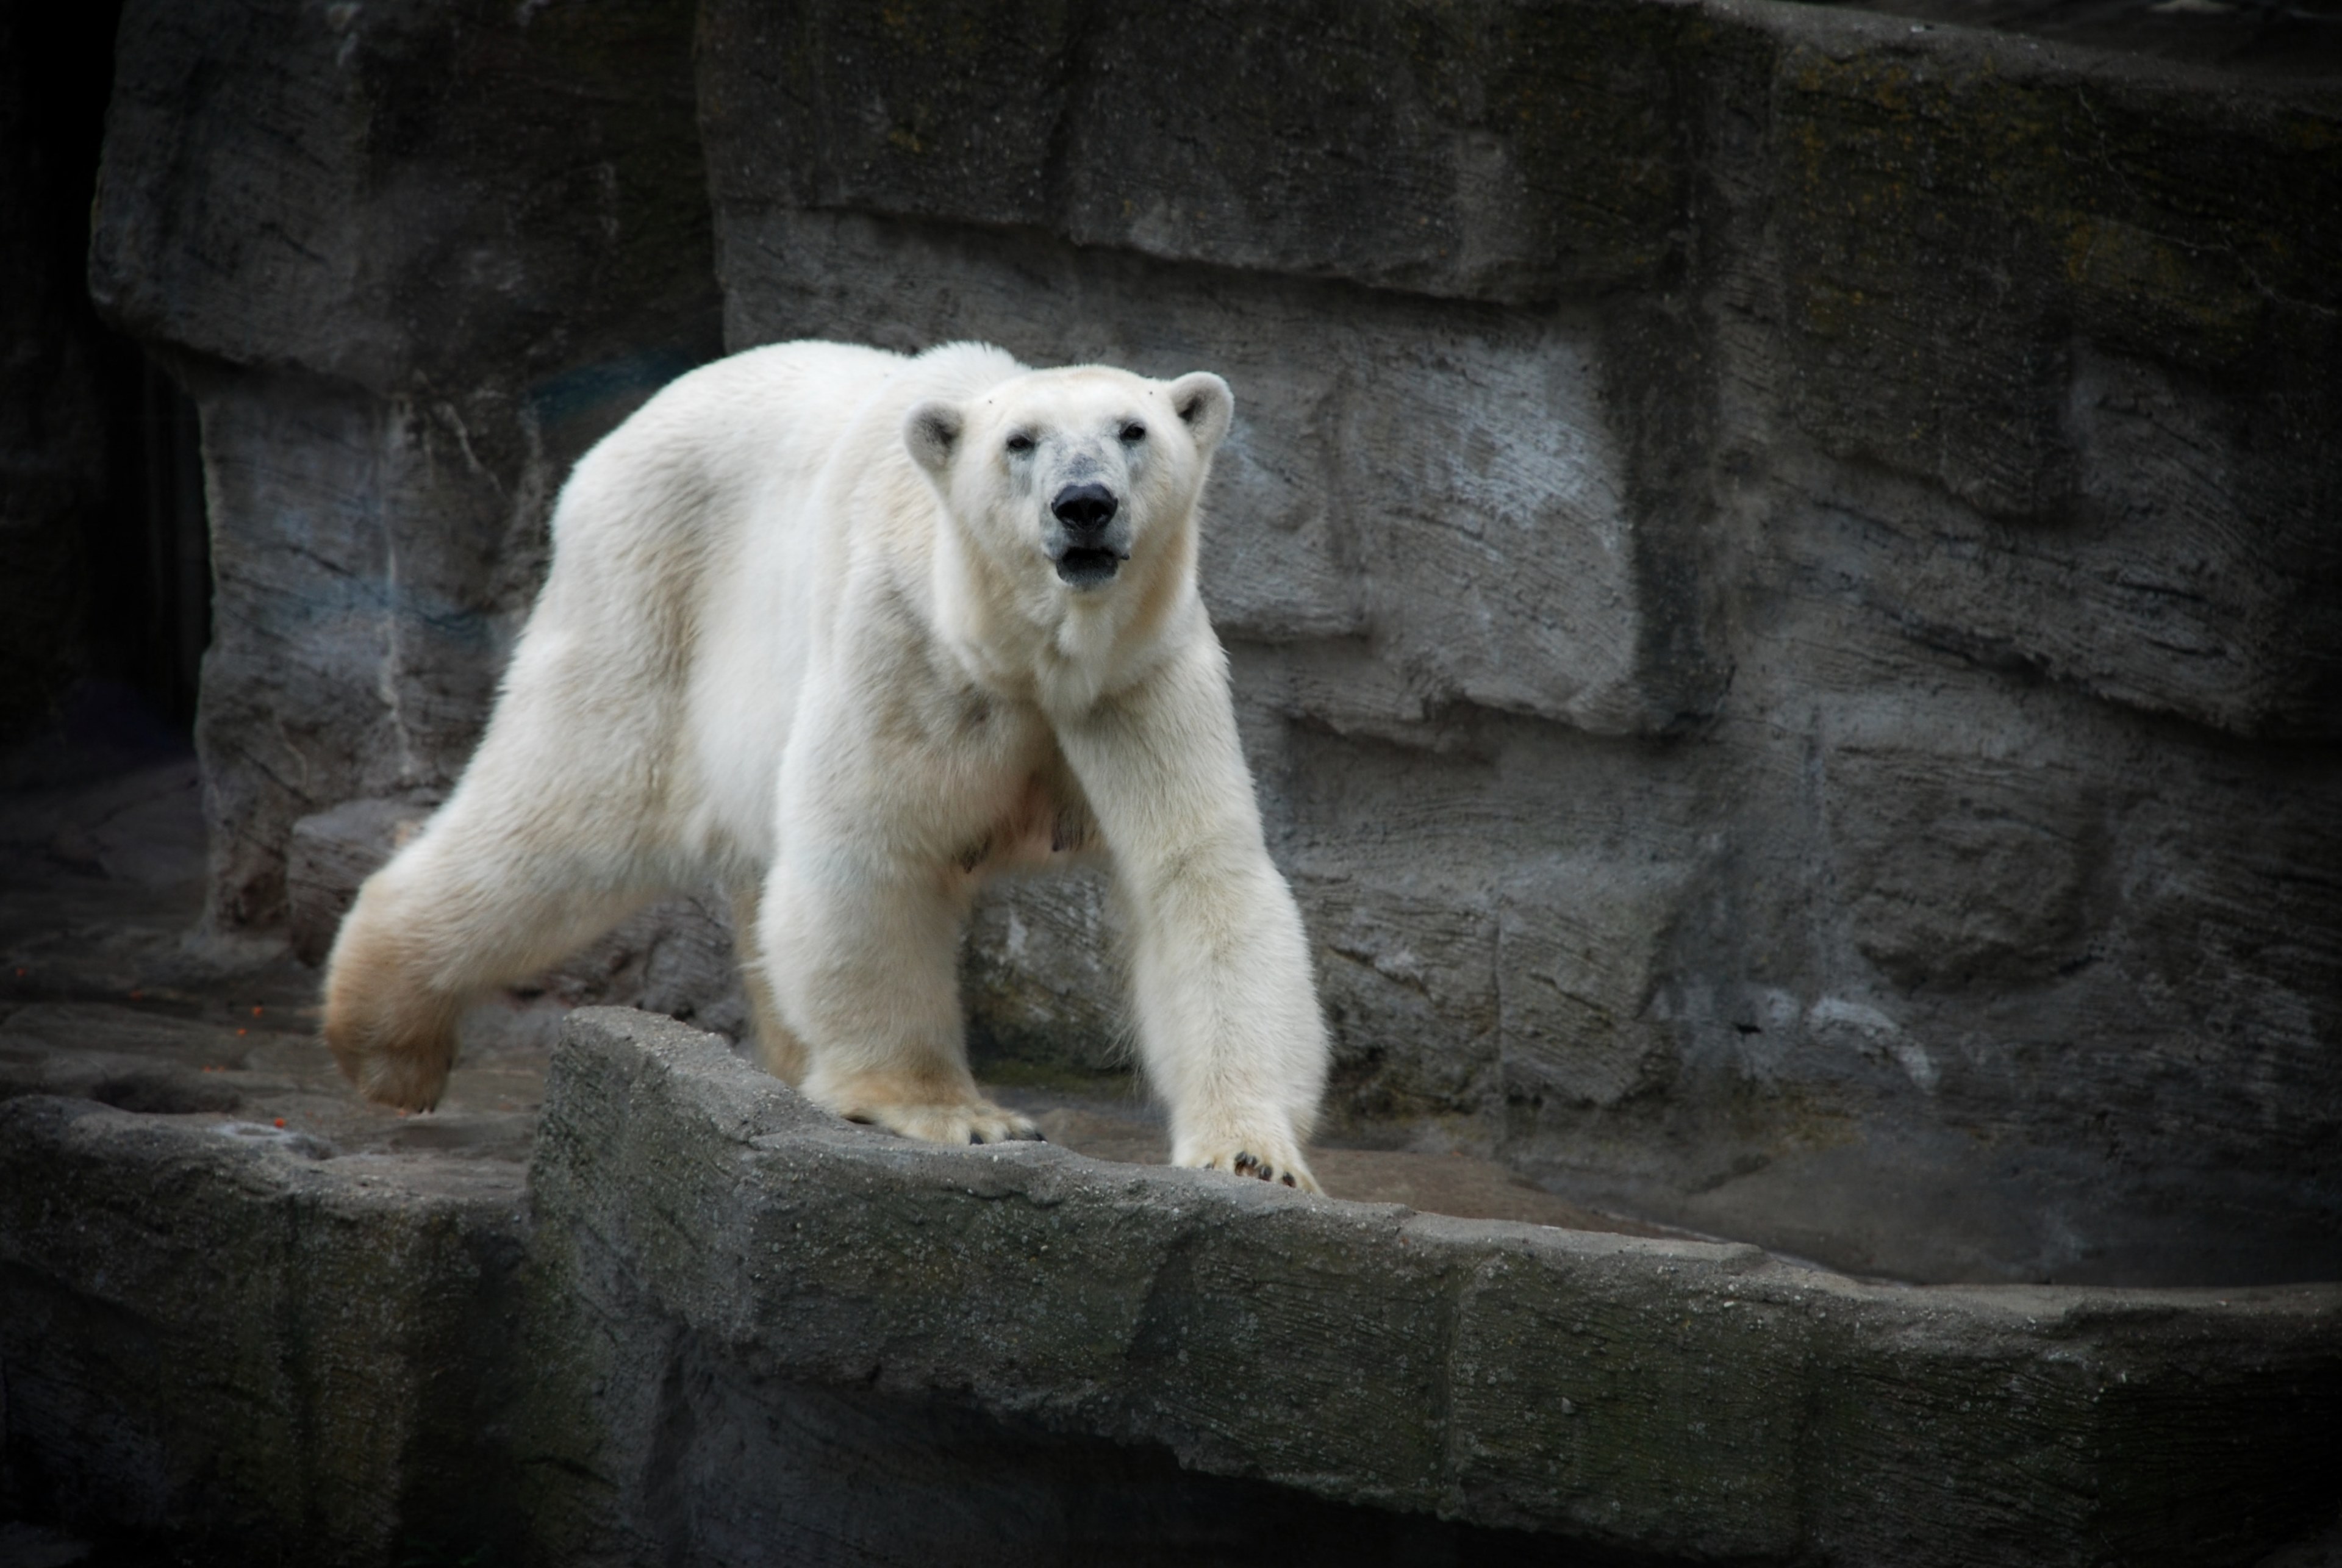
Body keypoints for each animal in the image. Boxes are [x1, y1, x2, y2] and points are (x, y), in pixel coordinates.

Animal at [323, 340, 1330, 1190]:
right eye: (1021, 441)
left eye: (1134, 430)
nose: (1085, 503)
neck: (1019, 651)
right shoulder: (905, 648)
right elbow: (870, 854)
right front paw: (957, 1113)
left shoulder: (1139, 680)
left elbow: (1199, 877)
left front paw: (1252, 1154)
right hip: (648, 597)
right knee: (568, 812)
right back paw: (389, 1044)